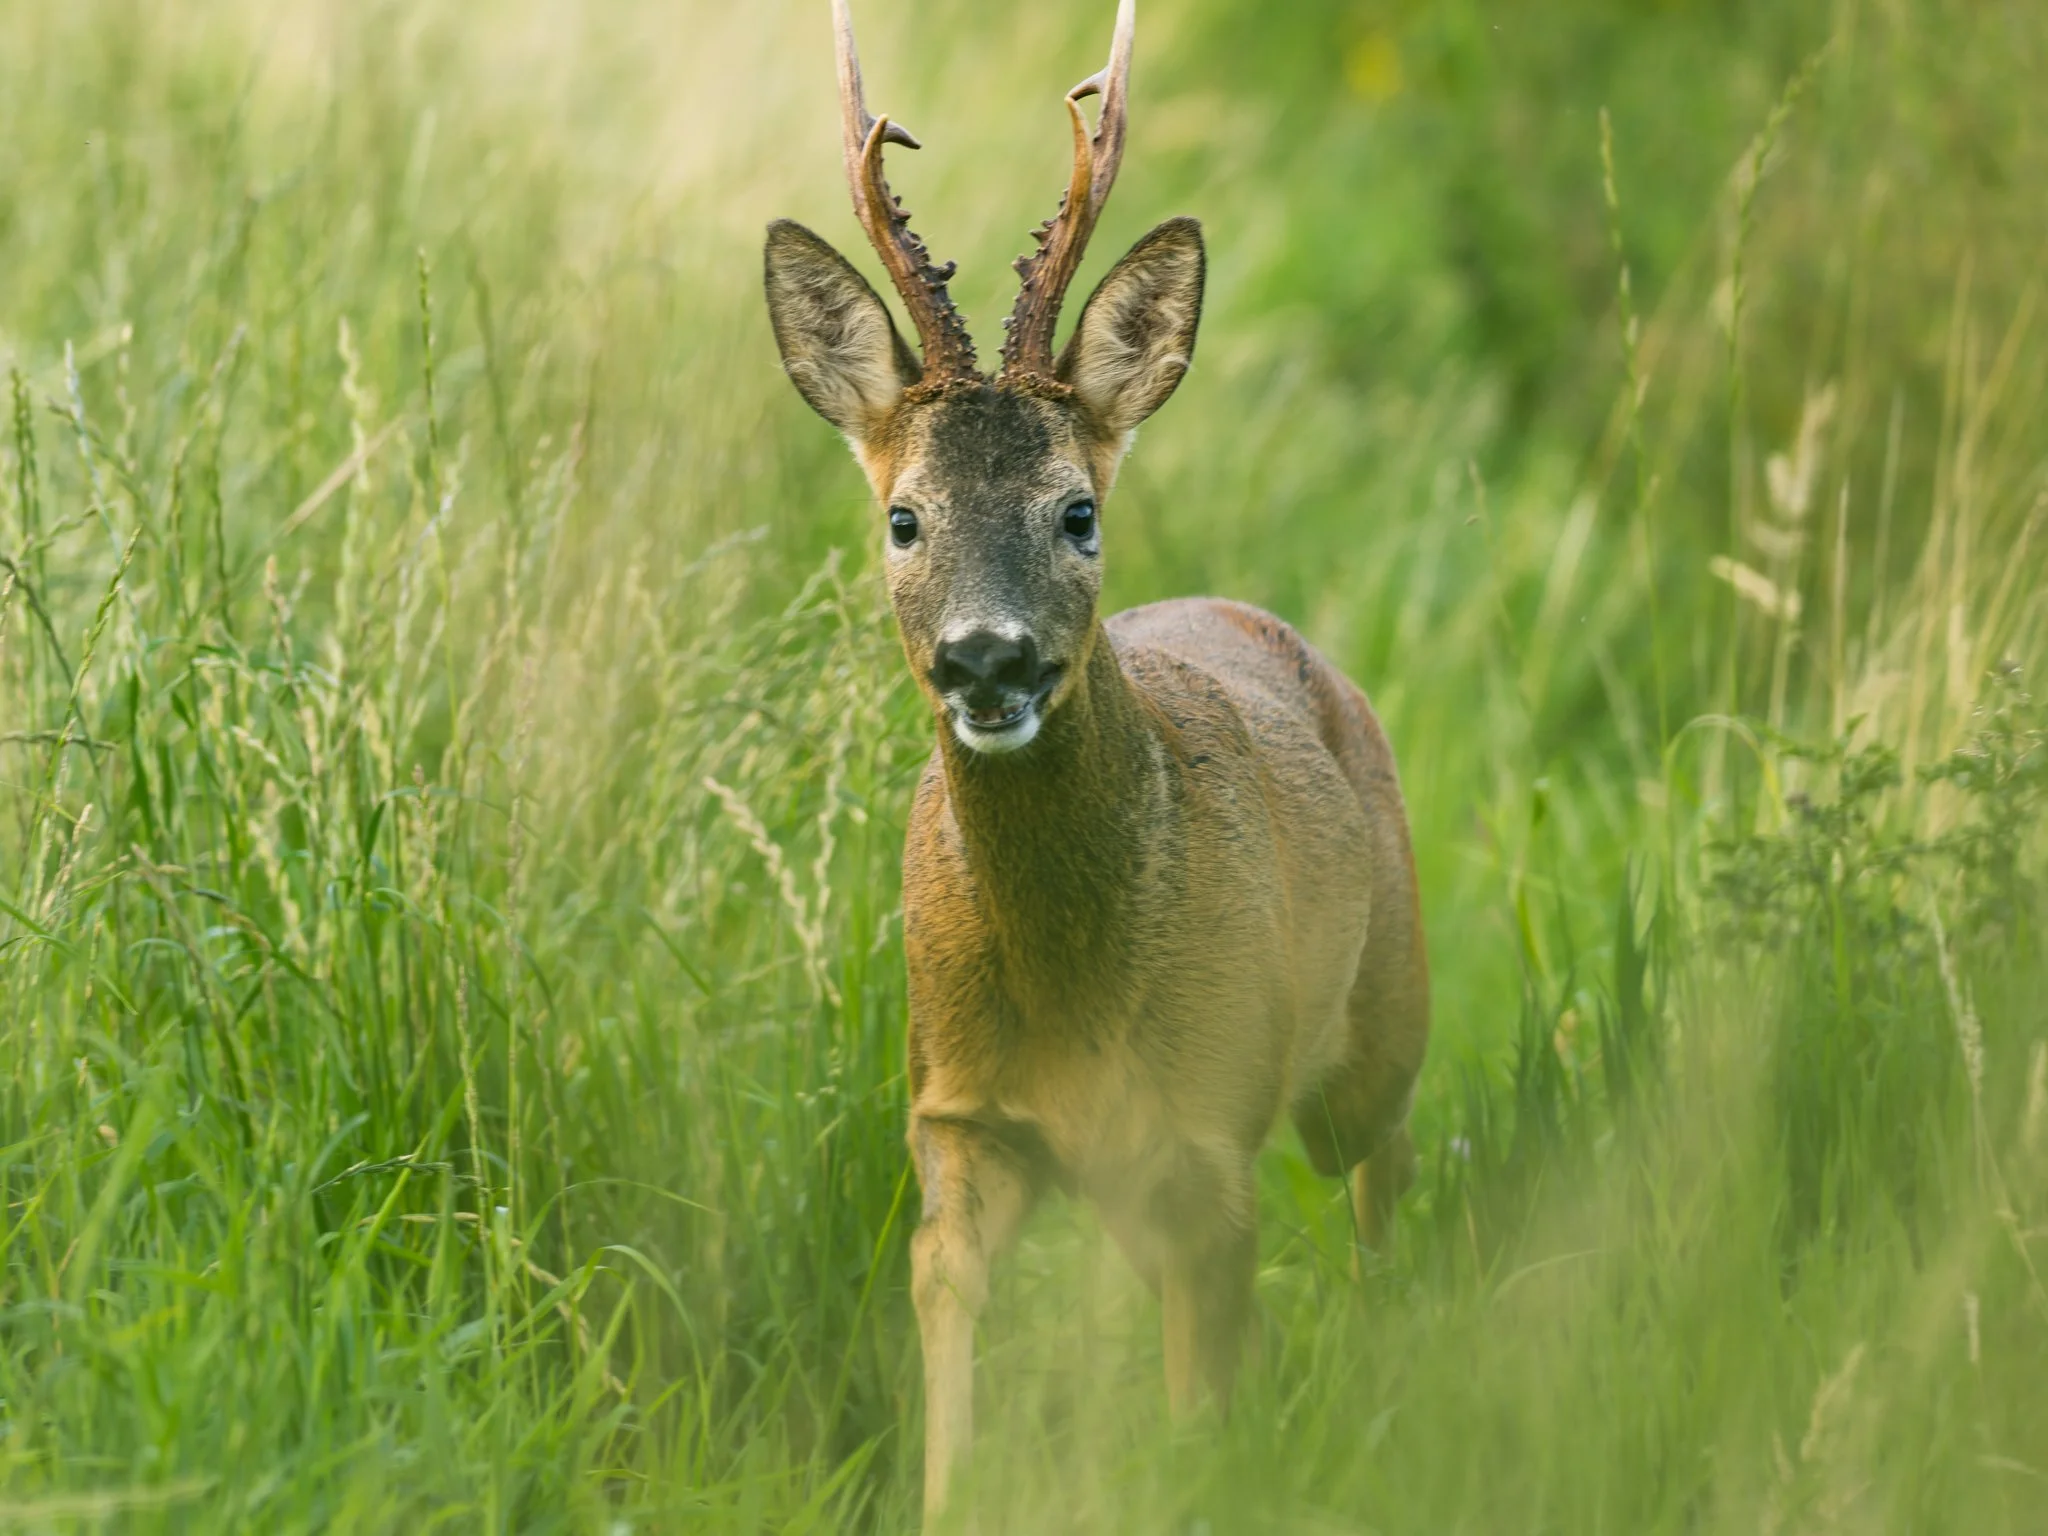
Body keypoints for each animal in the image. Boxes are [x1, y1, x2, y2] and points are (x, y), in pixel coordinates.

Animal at [762, 0, 1429, 1520]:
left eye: (1076, 511)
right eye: (902, 518)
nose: (985, 660)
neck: (1070, 996)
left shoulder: (1209, 1136)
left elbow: (1199, 1410)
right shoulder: (954, 1117)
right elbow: (944, 1322)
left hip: (1382, 1016)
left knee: (1385, 1183)